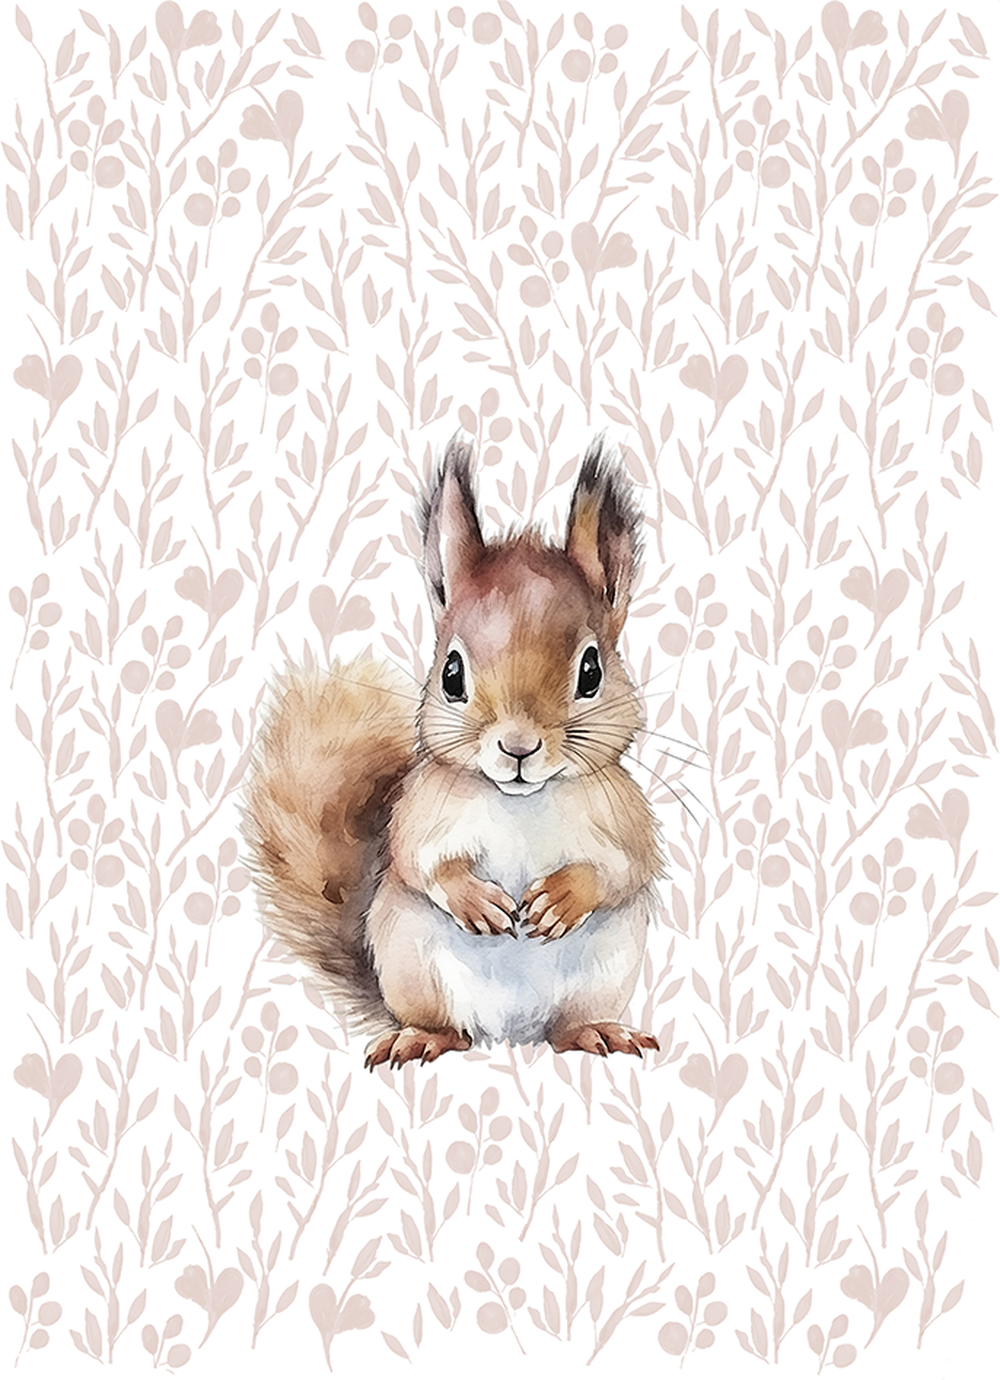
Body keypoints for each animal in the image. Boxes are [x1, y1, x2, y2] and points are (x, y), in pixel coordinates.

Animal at [243, 436, 664, 1068]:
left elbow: (624, 868)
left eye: (591, 671)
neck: (521, 802)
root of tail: (513, 1033)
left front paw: (562, 898)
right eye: (451, 674)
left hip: (602, 975)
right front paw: (476, 901)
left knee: (566, 1026)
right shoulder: (420, 814)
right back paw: (422, 1037)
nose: (518, 747)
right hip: (415, 968)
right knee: (448, 1027)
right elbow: (421, 861)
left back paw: (596, 1032)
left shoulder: (626, 817)